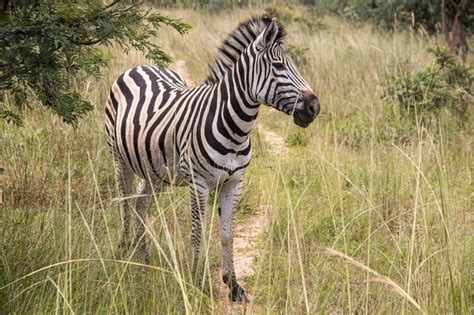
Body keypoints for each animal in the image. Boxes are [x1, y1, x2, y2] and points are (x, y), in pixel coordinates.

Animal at [105, 16, 320, 302]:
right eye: (278, 66)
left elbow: (227, 233)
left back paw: (144, 255)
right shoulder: (199, 183)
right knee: (126, 202)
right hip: (119, 159)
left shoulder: (234, 183)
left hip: (156, 169)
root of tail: (142, 66)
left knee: (141, 201)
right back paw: (124, 249)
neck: (236, 131)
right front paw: (195, 280)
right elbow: (198, 233)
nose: (314, 108)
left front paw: (233, 285)